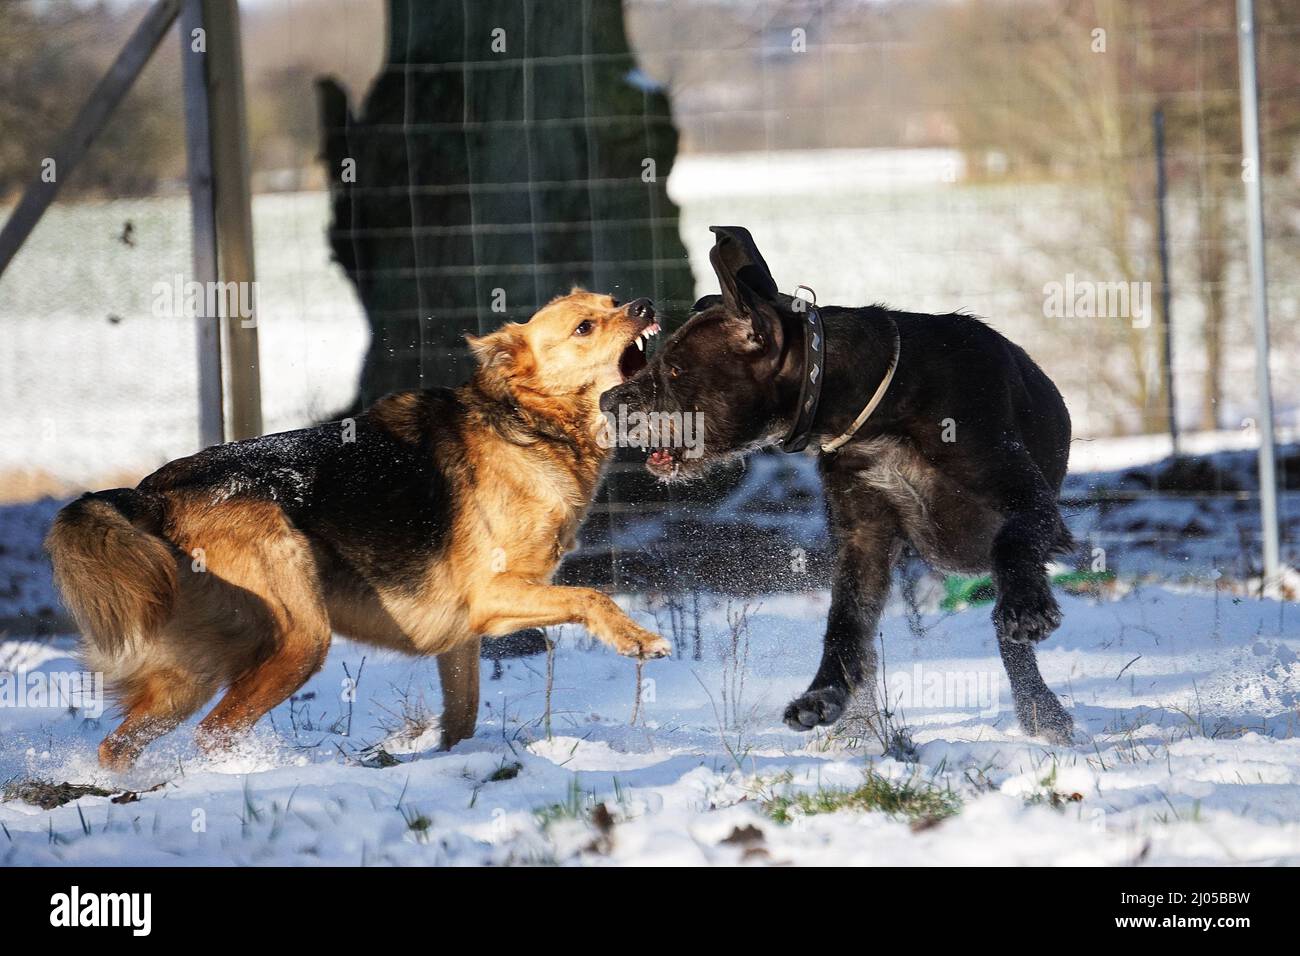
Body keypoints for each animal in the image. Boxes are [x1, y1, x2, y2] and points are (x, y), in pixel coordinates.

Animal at [48, 291, 670, 770]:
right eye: (585, 327)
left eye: (613, 302)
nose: (644, 305)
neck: (532, 423)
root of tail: (154, 491)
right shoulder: (493, 597)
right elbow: (590, 596)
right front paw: (638, 638)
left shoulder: (463, 639)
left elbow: (462, 718)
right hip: (300, 636)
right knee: (214, 731)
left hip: (194, 667)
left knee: (121, 745)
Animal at [608, 227, 1076, 743]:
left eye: (674, 370)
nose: (607, 400)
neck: (875, 413)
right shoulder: (863, 536)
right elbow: (846, 623)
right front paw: (827, 698)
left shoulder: (1029, 502)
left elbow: (1014, 545)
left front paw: (1027, 609)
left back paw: (1038, 705)